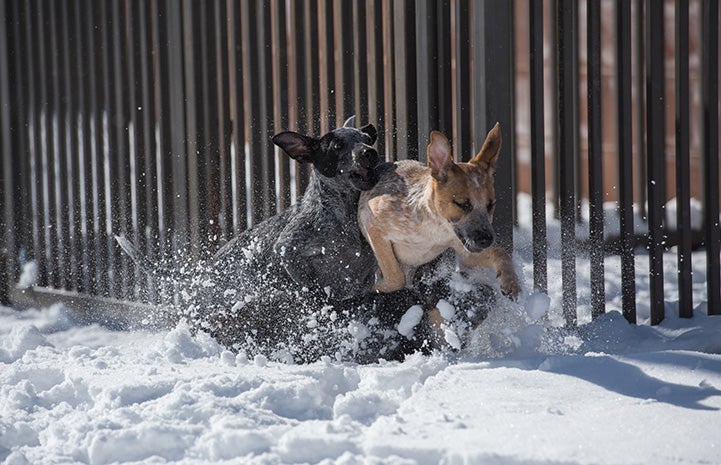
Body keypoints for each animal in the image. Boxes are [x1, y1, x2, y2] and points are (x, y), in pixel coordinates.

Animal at [358, 121, 516, 300]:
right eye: (462, 204)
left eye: (490, 205)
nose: (486, 240)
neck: (434, 228)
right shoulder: (371, 222)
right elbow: (395, 275)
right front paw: (377, 287)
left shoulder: (464, 250)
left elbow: (500, 253)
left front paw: (510, 281)